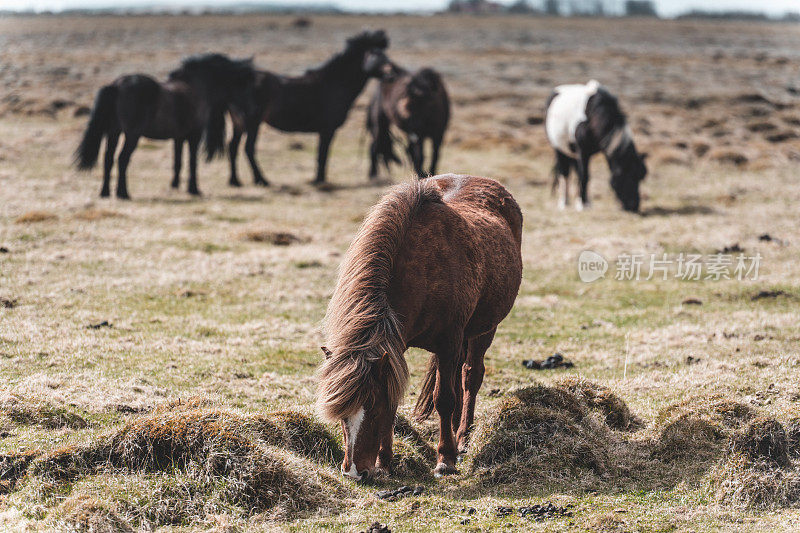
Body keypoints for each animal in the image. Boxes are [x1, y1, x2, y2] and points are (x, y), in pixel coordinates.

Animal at [76, 54, 253, 200]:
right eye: (242, 84)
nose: (245, 115)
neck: (196, 85)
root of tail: (117, 85)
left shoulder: (179, 137)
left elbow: (178, 161)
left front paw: (175, 186)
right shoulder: (194, 135)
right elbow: (192, 162)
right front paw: (194, 189)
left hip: (114, 132)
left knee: (108, 158)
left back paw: (105, 192)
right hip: (131, 135)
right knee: (122, 159)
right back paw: (123, 193)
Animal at [316, 174, 528, 478]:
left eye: (373, 409)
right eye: (342, 415)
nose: (355, 472)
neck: (422, 273)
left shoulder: (449, 343)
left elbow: (444, 399)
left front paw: (445, 459)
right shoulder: (397, 346)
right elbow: (399, 397)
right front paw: (385, 461)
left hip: (484, 331)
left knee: (470, 376)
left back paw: (462, 438)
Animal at [544, 79, 648, 212]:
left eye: (640, 177)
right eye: (626, 176)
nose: (633, 206)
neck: (592, 114)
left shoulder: (586, 153)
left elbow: (584, 176)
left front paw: (584, 202)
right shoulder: (583, 152)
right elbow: (584, 176)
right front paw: (582, 204)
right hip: (559, 150)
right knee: (564, 173)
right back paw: (564, 202)